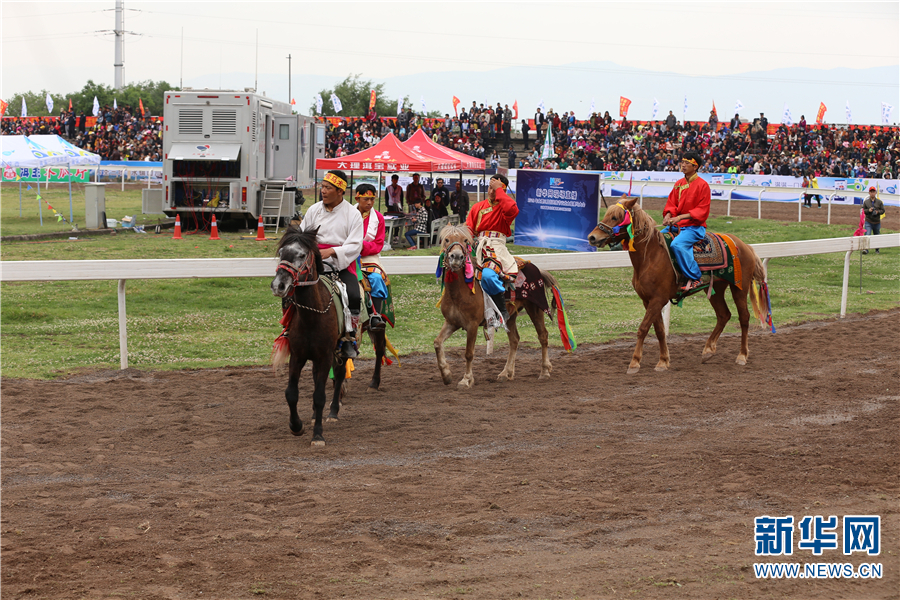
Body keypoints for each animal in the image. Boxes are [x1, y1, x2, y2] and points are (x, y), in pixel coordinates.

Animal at [270, 227, 386, 442]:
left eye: (301, 255)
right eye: (281, 253)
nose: (278, 285)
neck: (312, 315)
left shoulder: (324, 356)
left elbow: (319, 395)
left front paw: (318, 435)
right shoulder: (298, 356)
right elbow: (291, 393)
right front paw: (296, 426)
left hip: (365, 334)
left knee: (364, 360)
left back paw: (340, 407)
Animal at [434, 225, 564, 390]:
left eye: (465, 240)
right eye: (446, 239)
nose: (456, 256)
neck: (458, 292)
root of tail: (536, 269)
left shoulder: (472, 325)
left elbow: (469, 353)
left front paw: (466, 379)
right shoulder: (452, 322)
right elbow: (437, 343)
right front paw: (446, 374)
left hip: (535, 308)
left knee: (543, 336)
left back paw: (545, 371)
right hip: (510, 315)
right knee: (514, 340)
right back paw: (506, 373)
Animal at [584, 197, 772, 372]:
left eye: (615, 217)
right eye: (607, 214)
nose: (592, 237)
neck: (651, 256)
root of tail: (744, 245)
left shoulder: (658, 299)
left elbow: (643, 328)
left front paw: (635, 362)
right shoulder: (648, 300)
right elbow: (659, 330)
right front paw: (663, 361)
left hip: (739, 287)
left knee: (744, 317)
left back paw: (742, 355)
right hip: (716, 289)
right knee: (723, 315)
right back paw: (708, 351)